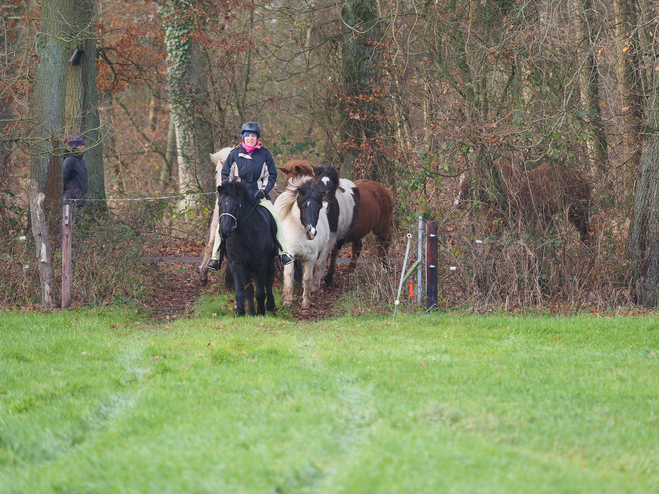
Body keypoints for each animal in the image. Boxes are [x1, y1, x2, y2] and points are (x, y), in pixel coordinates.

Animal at [215, 181, 280, 316]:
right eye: (220, 204)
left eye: (236, 205)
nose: (224, 232)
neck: (244, 236)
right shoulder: (236, 264)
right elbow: (241, 292)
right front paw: (240, 312)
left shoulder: (261, 264)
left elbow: (260, 291)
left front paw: (261, 312)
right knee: (249, 289)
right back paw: (251, 312)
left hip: (270, 260)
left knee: (269, 280)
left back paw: (269, 305)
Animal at [274, 176, 332, 308]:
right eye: (304, 207)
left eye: (318, 208)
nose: (311, 233)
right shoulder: (289, 254)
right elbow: (289, 274)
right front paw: (287, 301)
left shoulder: (311, 258)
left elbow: (307, 278)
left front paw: (306, 302)